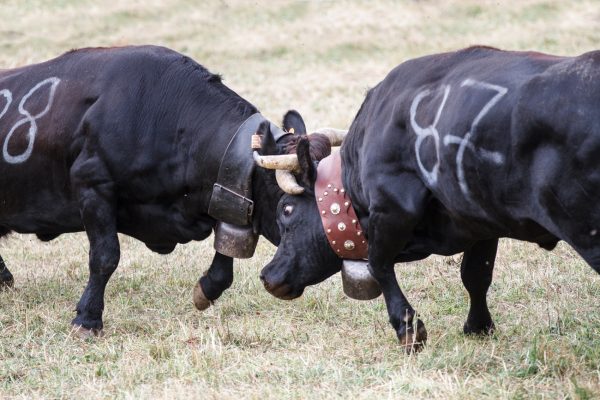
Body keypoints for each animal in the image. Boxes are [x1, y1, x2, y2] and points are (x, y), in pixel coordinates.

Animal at [0, 45, 332, 336]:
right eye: (287, 207)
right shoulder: (92, 185)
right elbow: (105, 256)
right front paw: (88, 318)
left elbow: (225, 253)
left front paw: (206, 289)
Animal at [256, 47, 600, 352]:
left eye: (286, 210)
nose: (267, 275)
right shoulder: (478, 219)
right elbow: (476, 273)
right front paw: (479, 327)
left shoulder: (393, 209)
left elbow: (379, 264)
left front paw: (408, 331)